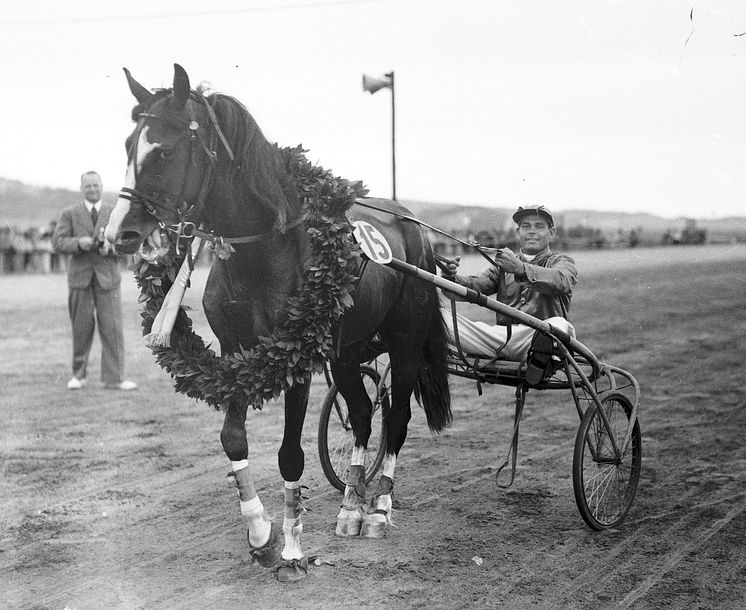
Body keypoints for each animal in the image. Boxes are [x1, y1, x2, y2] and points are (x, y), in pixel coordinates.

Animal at [104, 64, 450, 580]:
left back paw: (380, 510)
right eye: (128, 145)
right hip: (347, 350)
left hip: (404, 340)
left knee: (398, 418)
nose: (118, 231)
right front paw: (260, 532)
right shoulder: (234, 351)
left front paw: (290, 550)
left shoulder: (294, 357)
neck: (265, 245)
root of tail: (413, 225)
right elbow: (232, 439)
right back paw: (351, 508)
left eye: (163, 150)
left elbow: (290, 454)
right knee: (363, 416)